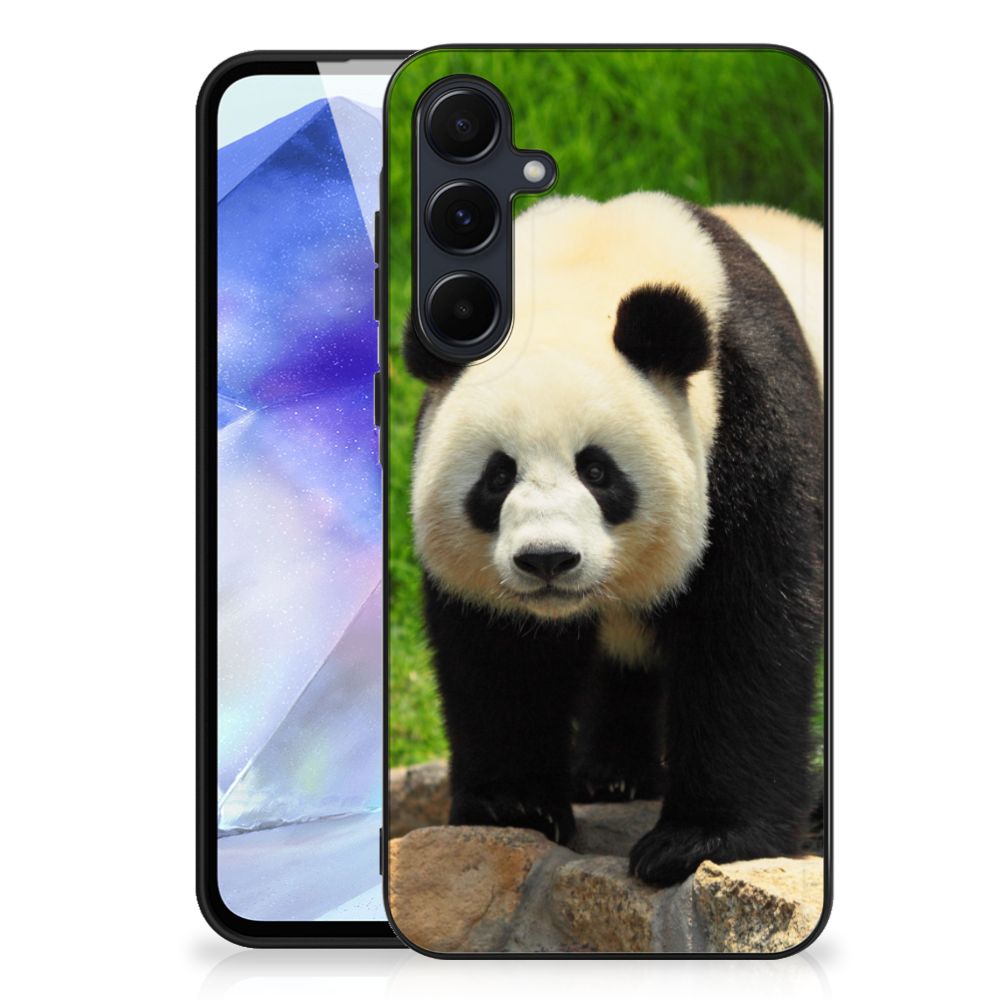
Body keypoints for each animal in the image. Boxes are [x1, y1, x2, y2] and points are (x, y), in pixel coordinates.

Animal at [402, 192, 824, 887]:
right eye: (497, 476)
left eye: (597, 471)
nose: (547, 560)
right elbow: (501, 653)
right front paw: (513, 806)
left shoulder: (750, 417)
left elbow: (748, 626)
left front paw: (699, 840)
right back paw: (611, 775)